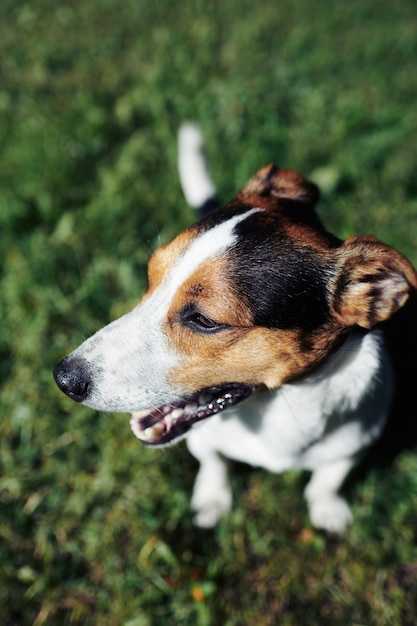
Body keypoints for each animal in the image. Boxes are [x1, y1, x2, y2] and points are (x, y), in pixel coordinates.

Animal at [54, 123, 416, 532]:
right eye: (150, 278)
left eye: (205, 320)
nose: (63, 379)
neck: (279, 409)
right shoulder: (205, 439)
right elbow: (213, 463)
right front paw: (212, 500)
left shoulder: (355, 442)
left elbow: (329, 478)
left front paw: (328, 508)